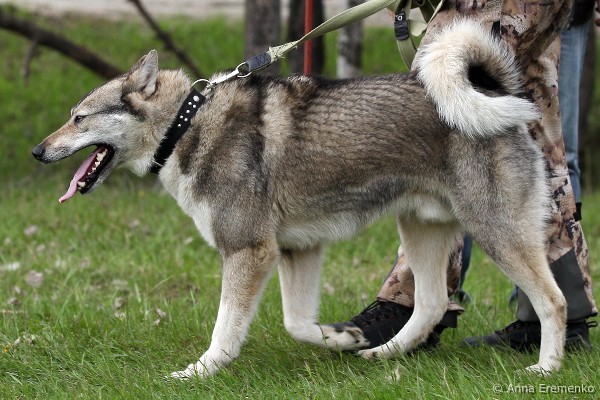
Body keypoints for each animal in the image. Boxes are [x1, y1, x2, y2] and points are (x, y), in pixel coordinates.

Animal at [32, 20, 567, 378]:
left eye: (79, 118)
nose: (38, 151)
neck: (188, 123)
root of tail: (495, 91)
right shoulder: (296, 250)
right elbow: (297, 323)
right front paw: (341, 337)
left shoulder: (249, 251)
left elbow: (225, 329)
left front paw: (199, 372)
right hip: (420, 231)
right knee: (432, 304)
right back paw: (380, 353)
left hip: (496, 233)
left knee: (554, 301)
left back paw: (545, 370)